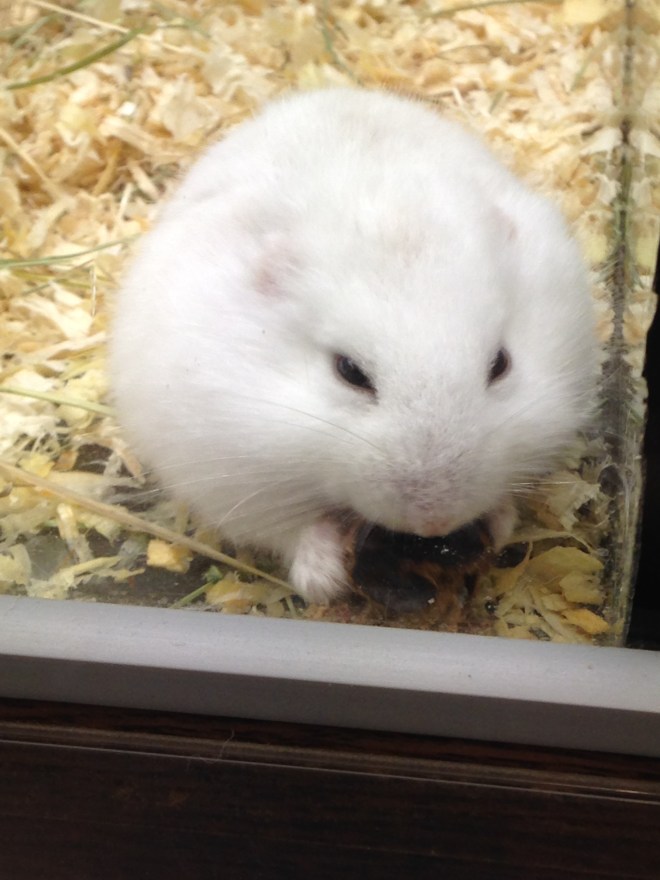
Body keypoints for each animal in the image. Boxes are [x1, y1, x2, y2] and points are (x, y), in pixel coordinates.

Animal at [110, 87, 597, 604]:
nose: (434, 521)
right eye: (349, 371)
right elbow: (293, 531)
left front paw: (498, 525)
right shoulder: (233, 472)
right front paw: (325, 583)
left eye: (500, 364)